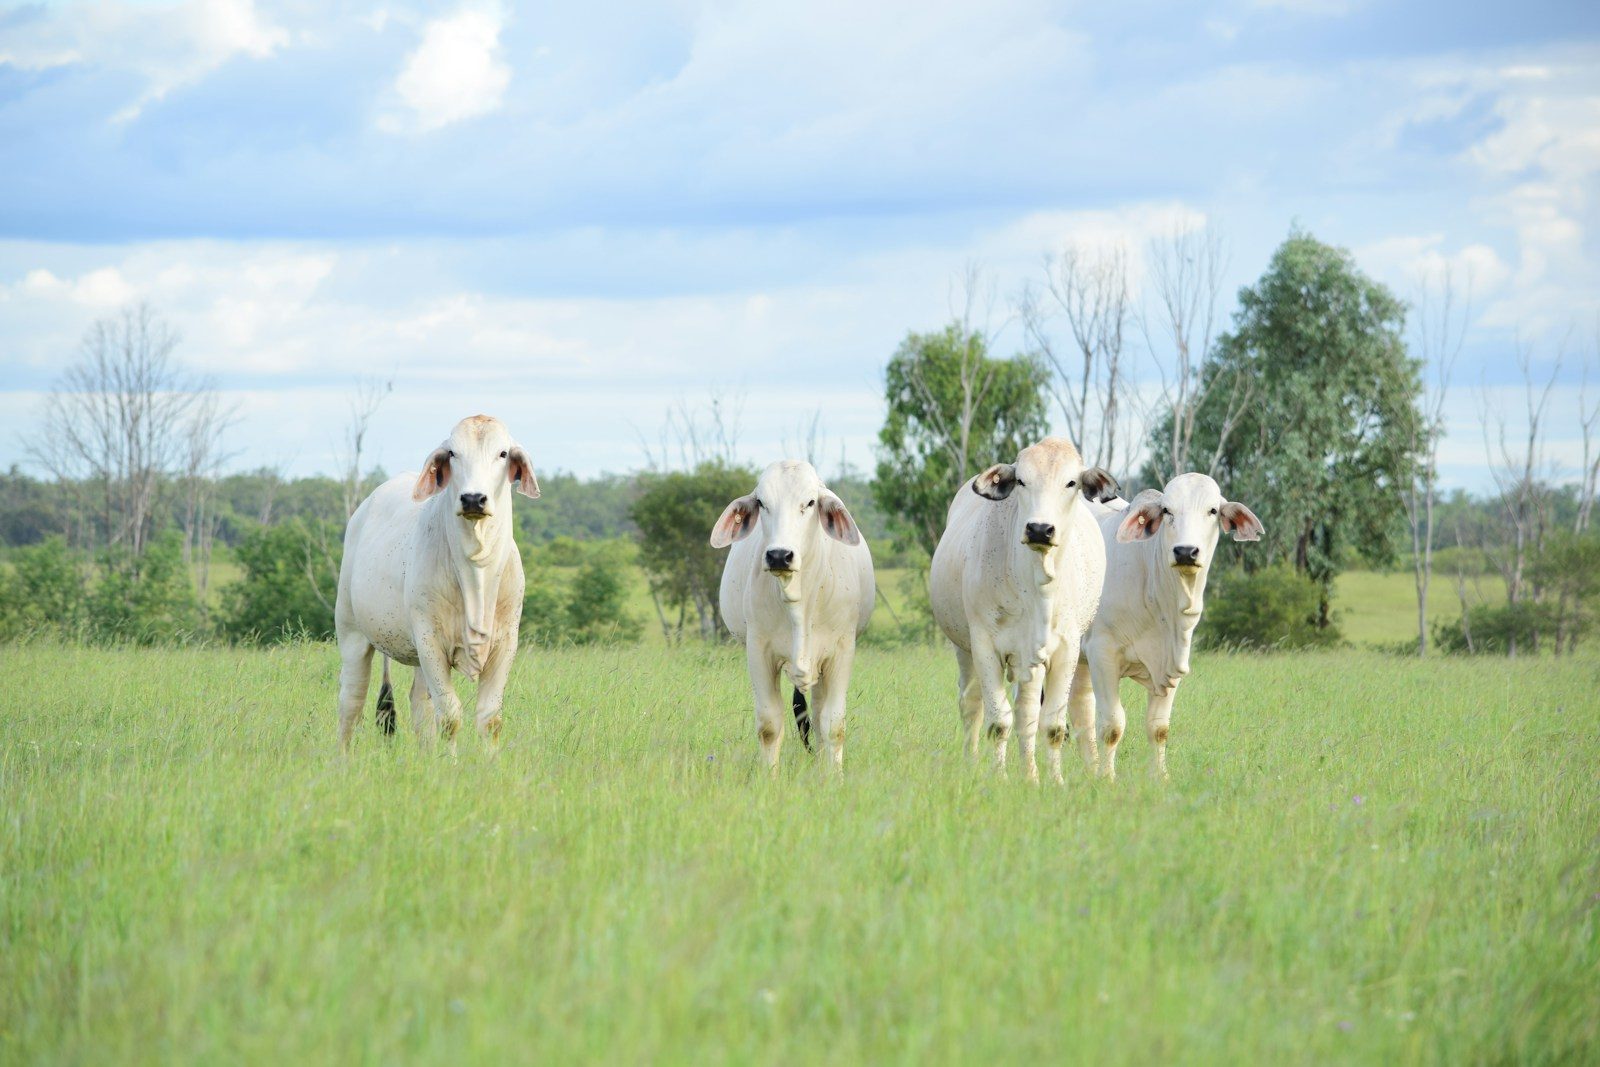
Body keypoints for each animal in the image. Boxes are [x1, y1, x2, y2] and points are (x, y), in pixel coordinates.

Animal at [334, 414, 540, 754]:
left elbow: (489, 719)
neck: (476, 572)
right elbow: (451, 716)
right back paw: (342, 760)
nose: (473, 498)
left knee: (419, 704)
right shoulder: (430, 640)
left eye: (502, 453)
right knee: (351, 702)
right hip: (352, 633)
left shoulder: (505, 643)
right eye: (453, 453)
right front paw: (450, 762)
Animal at [711, 460, 874, 772]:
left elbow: (833, 726)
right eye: (762, 503)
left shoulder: (841, 651)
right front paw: (768, 777)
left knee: (820, 719)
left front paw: (834, 777)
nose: (779, 555)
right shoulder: (758, 651)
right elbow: (769, 725)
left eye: (809, 503)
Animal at [928, 437, 1117, 783]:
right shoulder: (984, 646)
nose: (1040, 529)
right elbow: (998, 721)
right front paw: (1000, 777)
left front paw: (1052, 781)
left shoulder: (1065, 650)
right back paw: (975, 763)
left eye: (1071, 482)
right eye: (1021, 481)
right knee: (972, 705)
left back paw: (1030, 773)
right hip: (965, 649)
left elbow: (1052, 726)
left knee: (1027, 712)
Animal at [1068, 472, 1264, 780]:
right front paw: (1108, 778)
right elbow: (1112, 725)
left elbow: (1158, 727)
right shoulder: (1103, 653)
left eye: (1212, 510)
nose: (1185, 551)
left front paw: (1160, 778)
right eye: (1167, 511)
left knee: (1080, 711)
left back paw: (1089, 770)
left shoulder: (1172, 662)